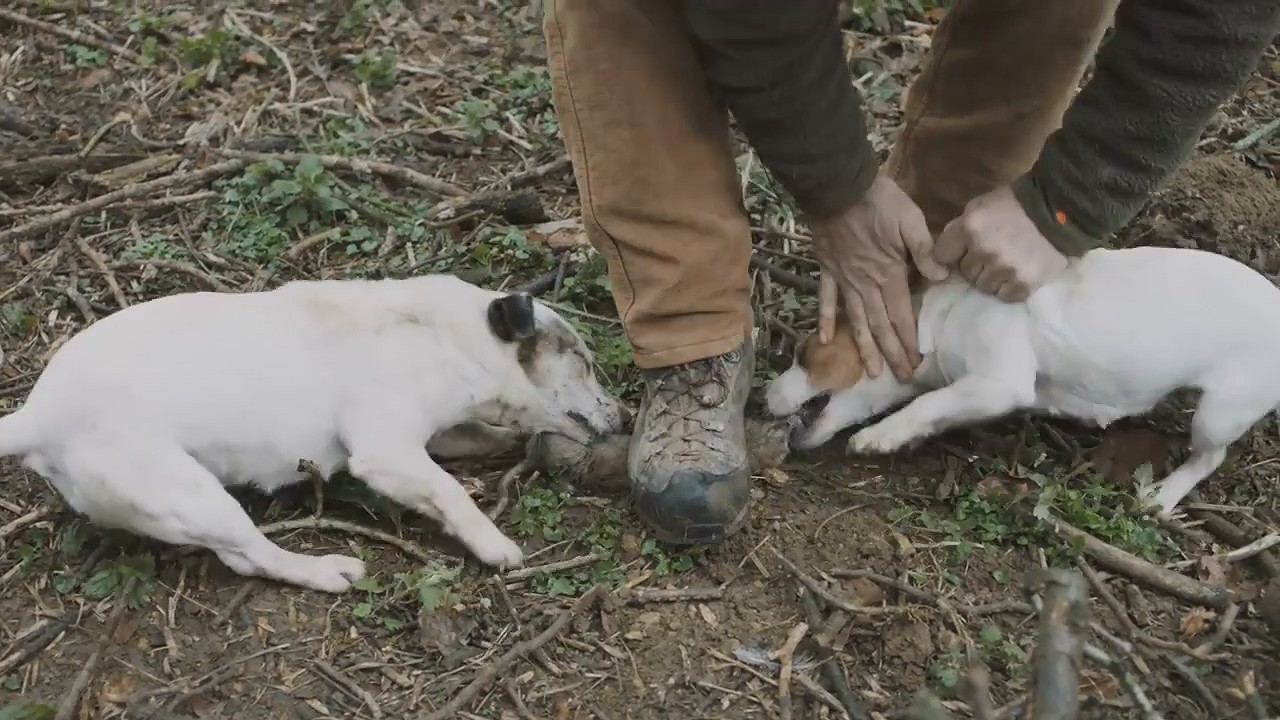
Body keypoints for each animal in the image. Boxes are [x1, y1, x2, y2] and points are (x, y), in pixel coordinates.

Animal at [0, 271, 629, 591]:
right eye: (583, 363)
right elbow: (450, 492)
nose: (624, 417)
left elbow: (476, 437)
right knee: (252, 558)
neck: (447, 335)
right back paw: (328, 570)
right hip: (188, 494)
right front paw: (493, 543)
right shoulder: (384, 452)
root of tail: (35, 417)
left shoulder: (430, 433)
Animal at [762, 245, 1280, 515]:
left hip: (1219, 411)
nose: (761, 395)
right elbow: (938, 405)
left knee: (1212, 457)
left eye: (805, 354)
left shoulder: (999, 383)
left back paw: (1164, 493)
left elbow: (927, 403)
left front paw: (882, 434)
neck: (940, 316)